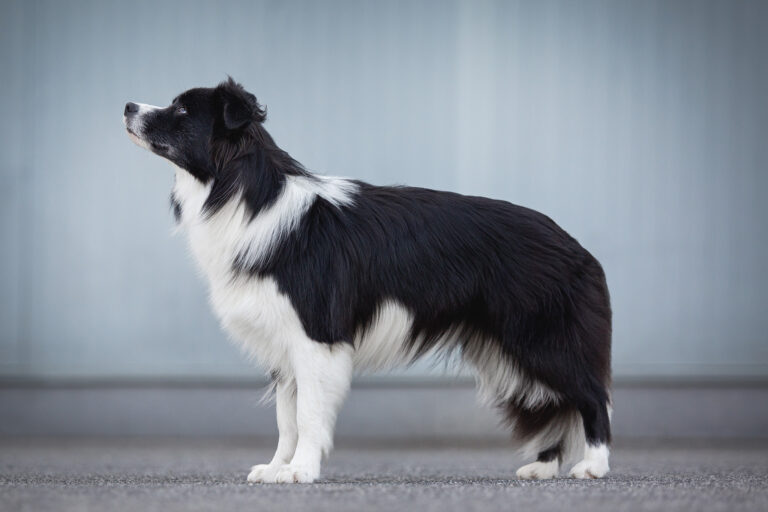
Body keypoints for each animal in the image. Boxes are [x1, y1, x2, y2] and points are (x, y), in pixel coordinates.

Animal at [124, 78, 612, 482]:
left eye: (182, 110)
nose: (127, 105)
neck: (244, 194)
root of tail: (576, 246)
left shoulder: (315, 335)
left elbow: (307, 414)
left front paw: (301, 471)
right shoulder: (283, 341)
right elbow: (286, 417)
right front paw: (279, 466)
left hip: (540, 337)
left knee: (590, 395)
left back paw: (595, 465)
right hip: (516, 349)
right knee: (553, 401)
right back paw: (543, 467)